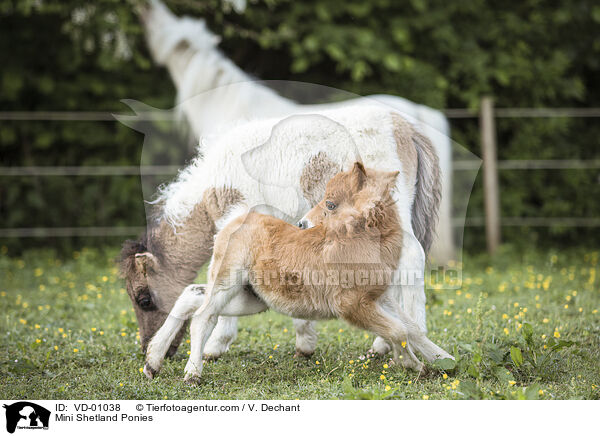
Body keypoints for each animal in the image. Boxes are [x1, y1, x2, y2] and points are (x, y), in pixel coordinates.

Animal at [145, 163, 452, 382]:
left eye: (331, 204)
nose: (303, 223)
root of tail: (235, 220)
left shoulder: (380, 298)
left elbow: (412, 329)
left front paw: (444, 360)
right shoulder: (350, 304)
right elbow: (398, 330)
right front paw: (413, 365)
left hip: (252, 297)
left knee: (191, 296)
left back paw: (152, 362)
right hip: (228, 279)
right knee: (203, 316)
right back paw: (192, 374)